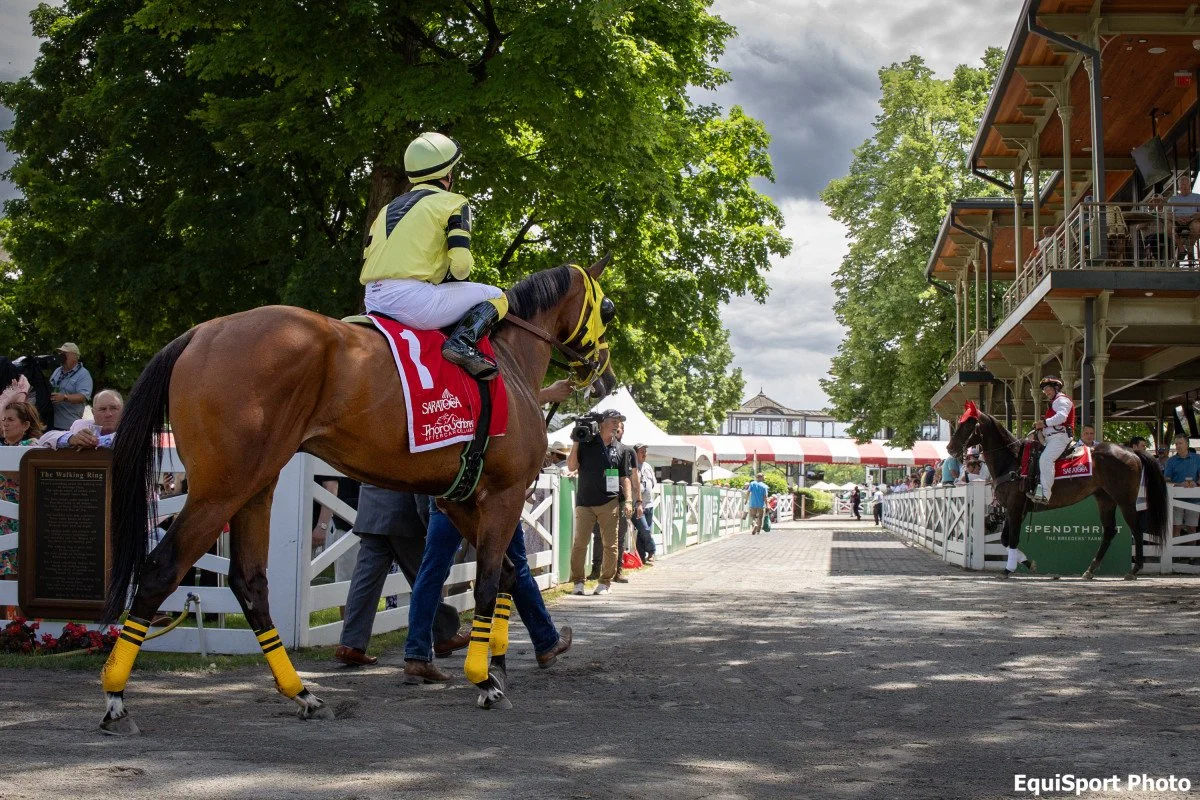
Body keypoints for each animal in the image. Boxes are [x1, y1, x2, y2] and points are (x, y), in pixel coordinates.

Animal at [98, 257, 617, 735]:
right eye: (608, 308)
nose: (606, 379)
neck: (507, 361)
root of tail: (199, 333)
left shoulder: (459, 500)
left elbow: (507, 574)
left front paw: (498, 667)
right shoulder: (503, 496)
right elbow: (491, 580)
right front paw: (484, 679)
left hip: (256, 486)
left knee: (250, 583)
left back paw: (303, 695)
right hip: (221, 489)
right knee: (161, 569)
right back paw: (116, 701)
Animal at [947, 403, 1168, 581]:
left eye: (968, 425)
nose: (950, 448)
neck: (1013, 460)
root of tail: (1132, 451)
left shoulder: (1015, 507)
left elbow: (1013, 539)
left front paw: (1008, 569)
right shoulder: (1015, 509)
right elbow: (1005, 539)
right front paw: (1028, 563)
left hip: (1125, 501)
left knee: (1136, 530)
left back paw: (1134, 570)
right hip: (1105, 499)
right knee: (1109, 531)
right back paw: (1090, 570)